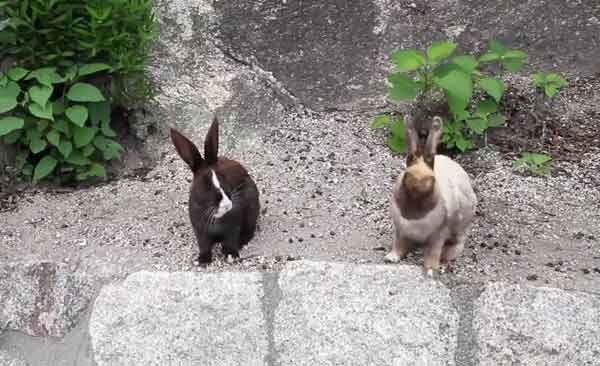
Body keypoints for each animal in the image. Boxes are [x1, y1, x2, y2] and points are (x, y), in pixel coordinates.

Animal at [384, 114, 478, 274]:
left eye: (431, 179)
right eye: (407, 175)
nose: (418, 186)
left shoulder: (439, 234)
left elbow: (433, 251)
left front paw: (430, 270)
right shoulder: (401, 230)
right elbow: (399, 244)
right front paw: (391, 257)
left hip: (460, 227)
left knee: (456, 245)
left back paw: (445, 259)